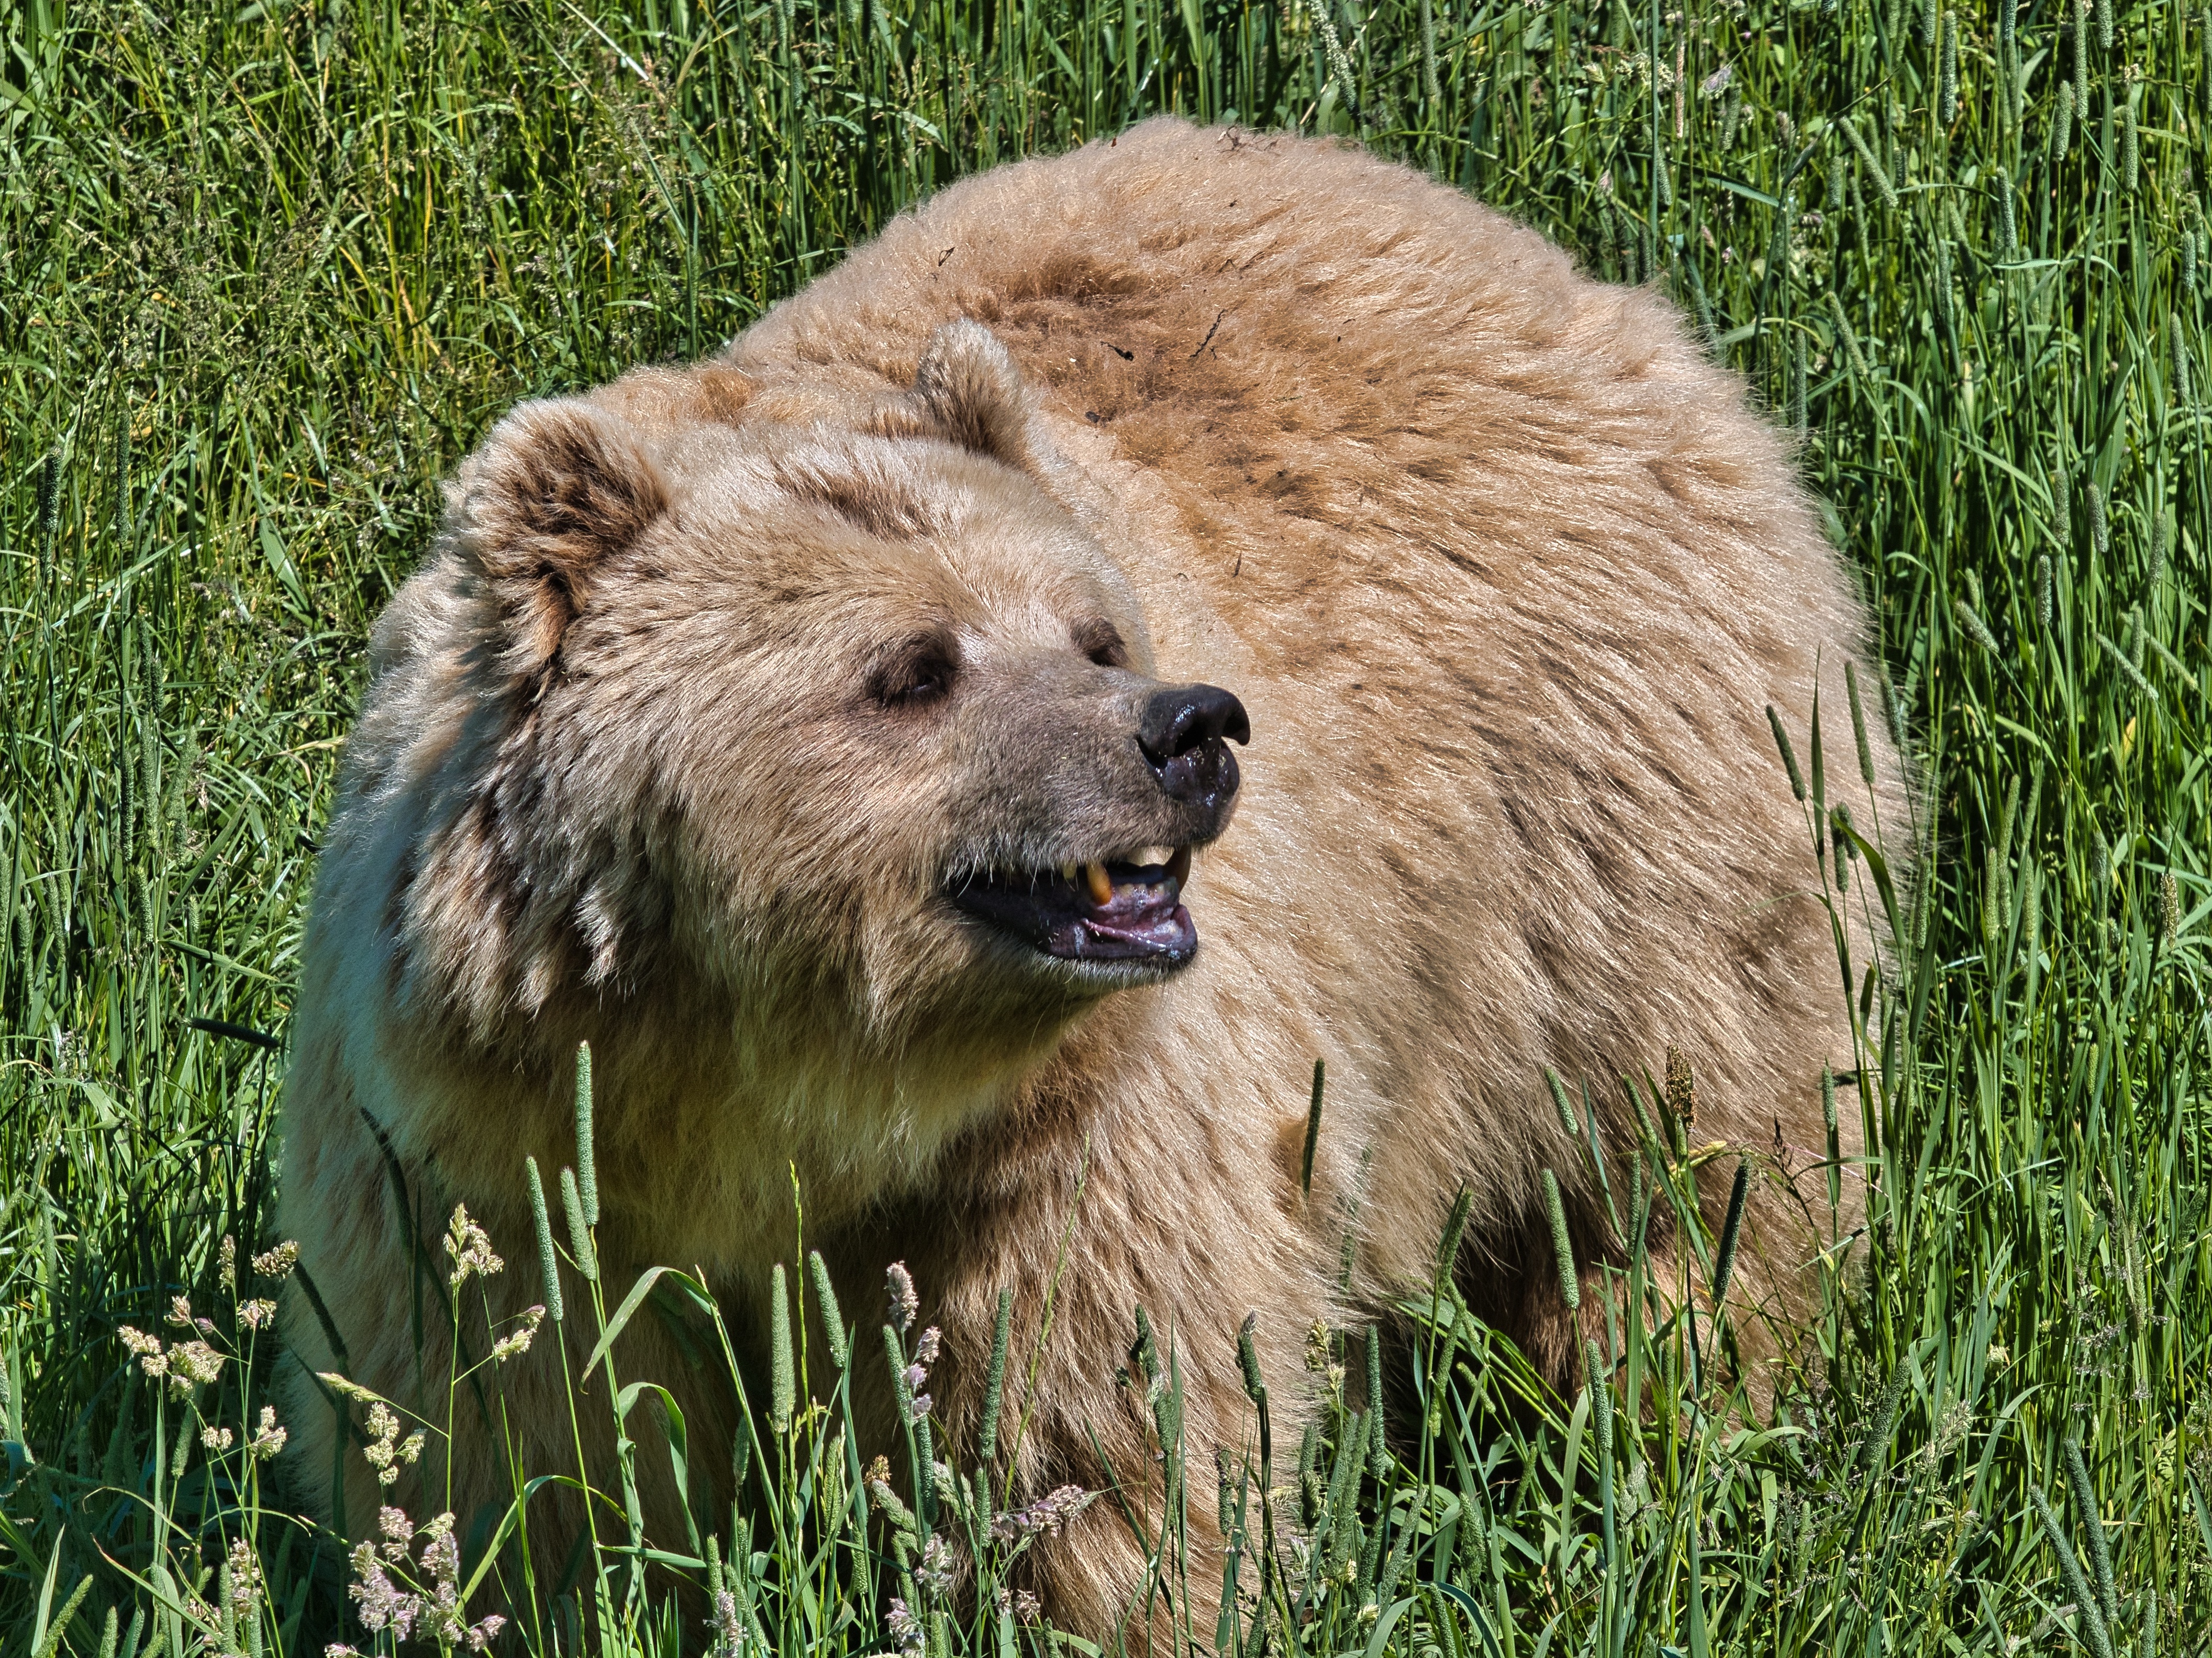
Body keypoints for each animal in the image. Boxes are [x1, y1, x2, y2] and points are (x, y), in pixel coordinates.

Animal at [275, 117, 1907, 1633]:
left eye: (1092, 630)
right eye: (914, 667)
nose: (1189, 731)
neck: (766, 1071)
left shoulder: (1053, 1155)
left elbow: (1100, 1428)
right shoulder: (497, 1151)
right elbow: (516, 1437)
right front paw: (508, 1582)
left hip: (1627, 827)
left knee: (1688, 1171)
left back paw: (1687, 1414)